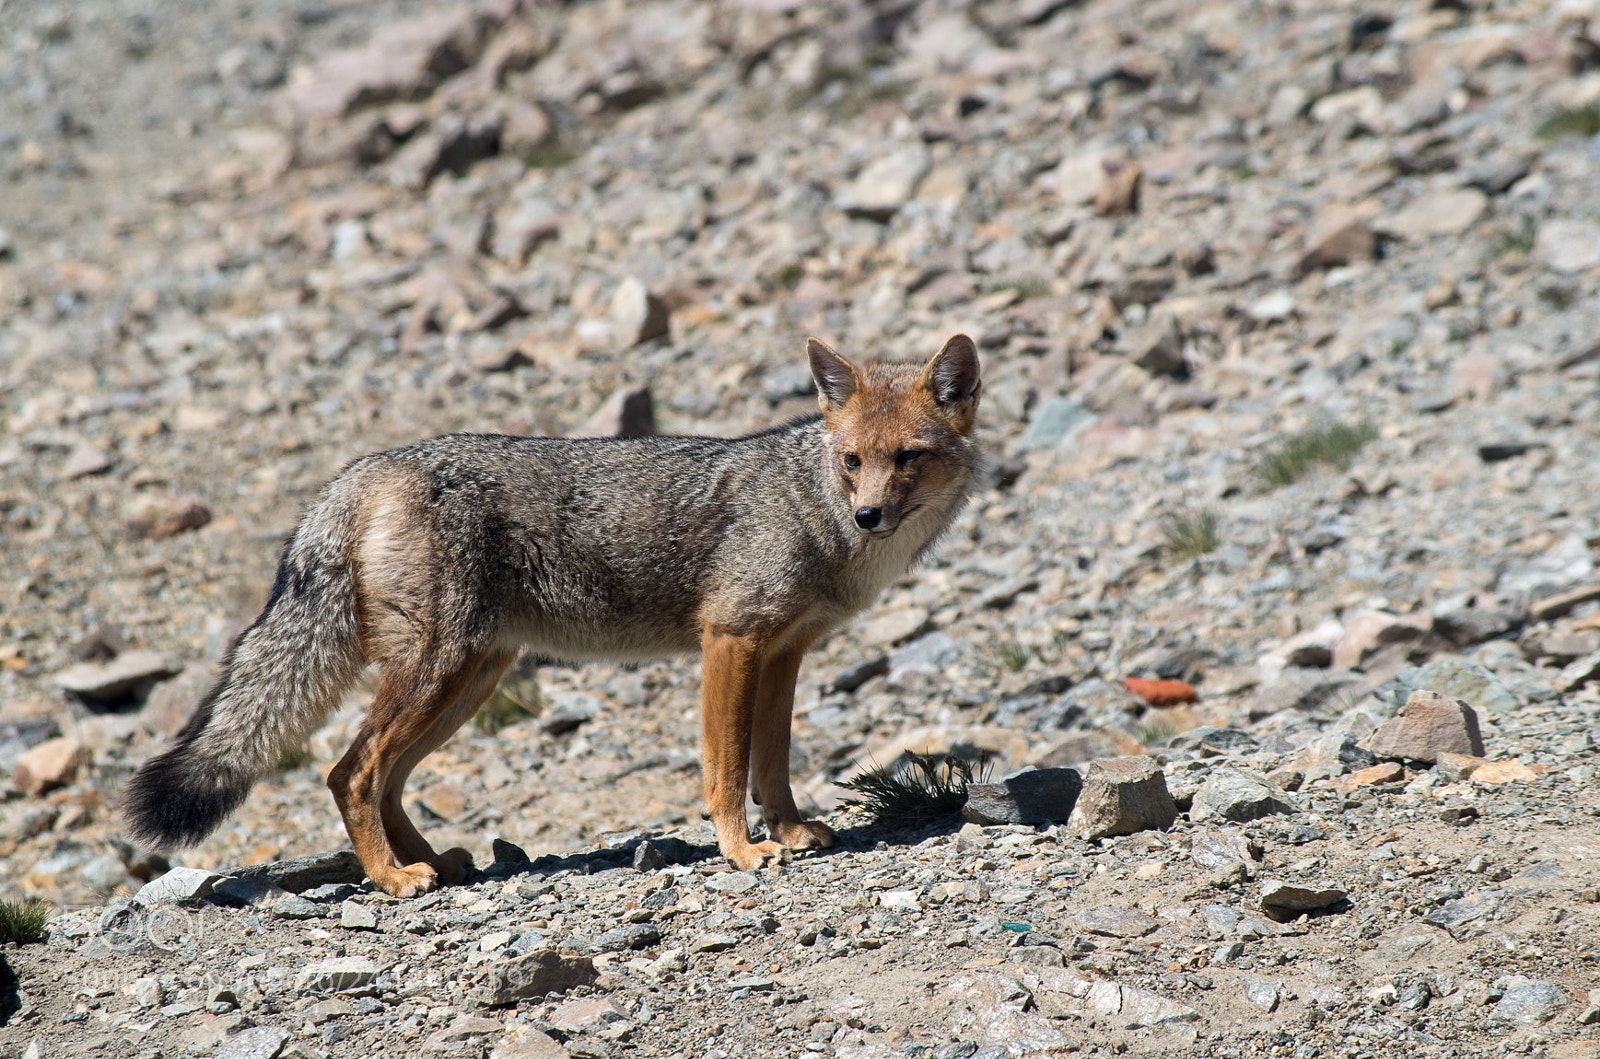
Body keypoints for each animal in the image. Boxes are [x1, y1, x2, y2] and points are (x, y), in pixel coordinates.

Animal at [122, 334, 982, 897]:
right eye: (852, 461)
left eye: (907, 458)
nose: (869, 515)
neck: (814, 511)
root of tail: (361, 470)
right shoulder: (731, 640)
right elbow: (725, 769)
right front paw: (741, 851)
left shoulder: (783, 653)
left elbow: (772, 763)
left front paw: (793, 831)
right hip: (438, 674)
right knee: (351, 770)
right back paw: (393, 877)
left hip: (465, 680)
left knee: (384, 777)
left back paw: (435, 862)